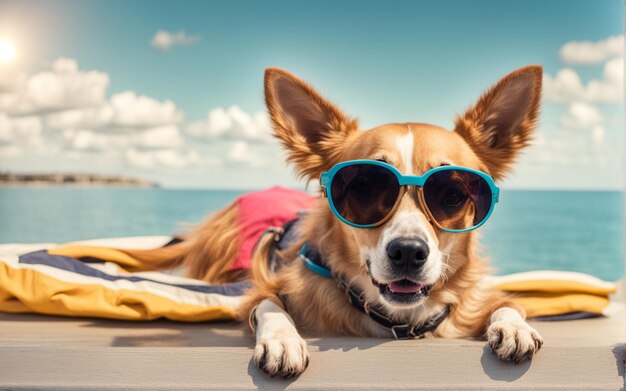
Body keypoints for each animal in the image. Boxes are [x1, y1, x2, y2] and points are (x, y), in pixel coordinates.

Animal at [122, 65, 540, 380]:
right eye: (364, 187)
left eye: (452, 194)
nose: (408, 252)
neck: (398, 321)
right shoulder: (264, 289)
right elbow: (269, 304)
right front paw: (283, 340)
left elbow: (508, 304)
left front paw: (514, 327)